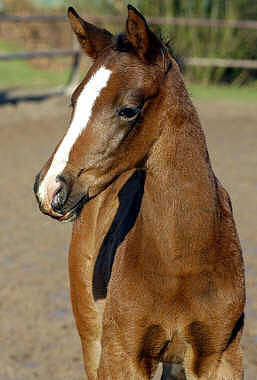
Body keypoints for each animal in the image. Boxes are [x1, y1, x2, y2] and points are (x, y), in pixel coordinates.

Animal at [34, 4, 244, 378]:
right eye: (74, 102)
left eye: (128, 109)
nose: (50, 188)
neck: (181, 259)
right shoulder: (122, 355)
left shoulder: (220, 356)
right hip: (92, 335)